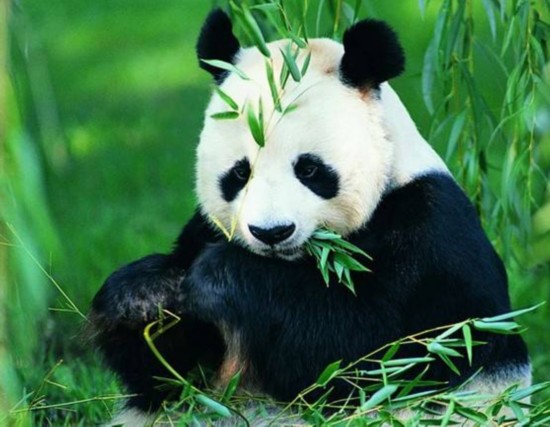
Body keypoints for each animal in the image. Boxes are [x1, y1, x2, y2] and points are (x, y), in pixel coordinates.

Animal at [90, 8, 532, 426]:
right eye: (240, 174)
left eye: (309, 170)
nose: (272, 232)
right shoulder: (203, 229)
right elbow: (170, 375)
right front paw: (143, 293)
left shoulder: (431, 237)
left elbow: (364, 353)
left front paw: (221, 276)